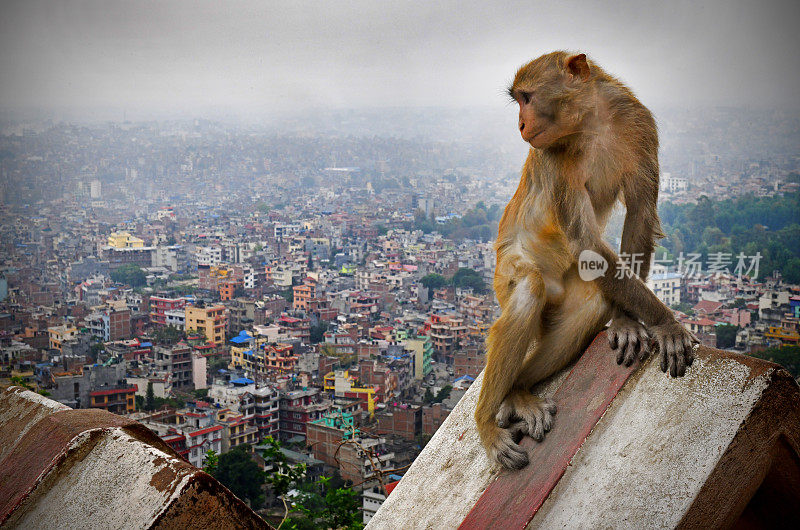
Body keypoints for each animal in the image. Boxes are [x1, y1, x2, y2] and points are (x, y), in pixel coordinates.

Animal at [478, 51, 696, 468]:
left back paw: (519, 389)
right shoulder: (557, 156)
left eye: (527, 97)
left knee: (592, 301)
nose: (520, 124)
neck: (594, 122)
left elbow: (639, 215)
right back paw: (487, 424)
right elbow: (586, 243)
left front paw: (628, 321)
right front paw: (666, 323)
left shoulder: (638, 123)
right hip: (506, 271)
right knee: (527, 291)